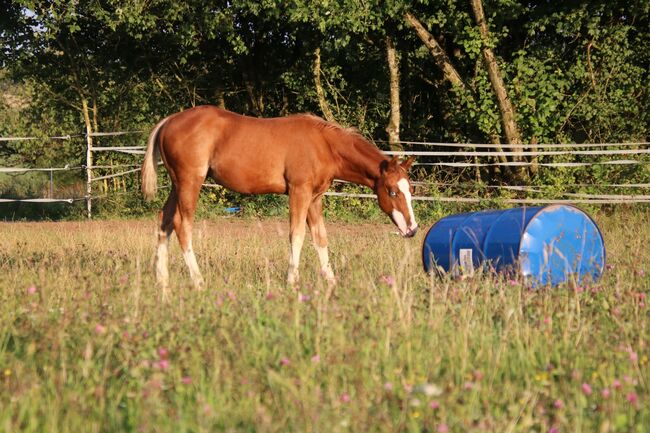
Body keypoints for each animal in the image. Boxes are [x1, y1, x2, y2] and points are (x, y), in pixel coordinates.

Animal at [141, 106, 418, 298]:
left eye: (410, 190)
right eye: (392, 191)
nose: (412, 230)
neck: (324, 145)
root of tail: (169, 121)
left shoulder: (315, 199)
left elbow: (320, 238)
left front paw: (331, 283)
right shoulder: (299, 192)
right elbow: (297, 235)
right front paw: (291, 282)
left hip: (177, 185)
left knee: (164, 222)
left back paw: (162, 283)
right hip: (190, 183)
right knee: (182, 225)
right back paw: (198, 282)